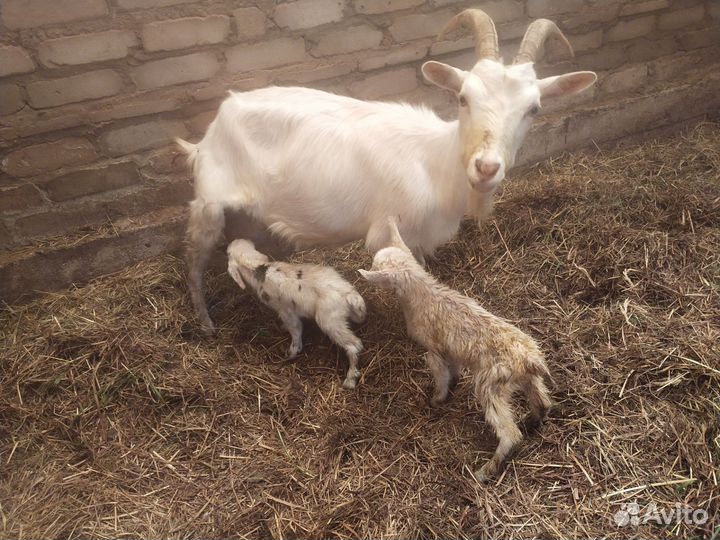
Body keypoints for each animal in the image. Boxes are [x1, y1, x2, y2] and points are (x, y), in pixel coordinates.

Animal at [178, 10, 597, 333]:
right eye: (463, 98)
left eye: (534, 109)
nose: (486, 167)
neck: (437, 161)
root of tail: (211, 130)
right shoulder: (390, 230)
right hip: (208, 203)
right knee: (194, 265)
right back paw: (206, 323)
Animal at [227, 239, 366, 389]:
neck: (259, 270)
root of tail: (348, 294)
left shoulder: (286, 311)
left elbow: (296, 330)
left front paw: (292, 352)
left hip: (330, 321)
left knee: (354, 345)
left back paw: (350, 379)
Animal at [359, 217, 552, 482]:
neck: (423, 295)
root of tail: (529, 360)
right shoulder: (448, 349)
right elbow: (453, 367)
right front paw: (454, 381)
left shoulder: (433, 350)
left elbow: (440, 376)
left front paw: (437, 399)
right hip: (527, 378)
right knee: (542, 401)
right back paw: (533, 420)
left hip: (491, 384)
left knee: (509, 433)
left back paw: (485, 471)